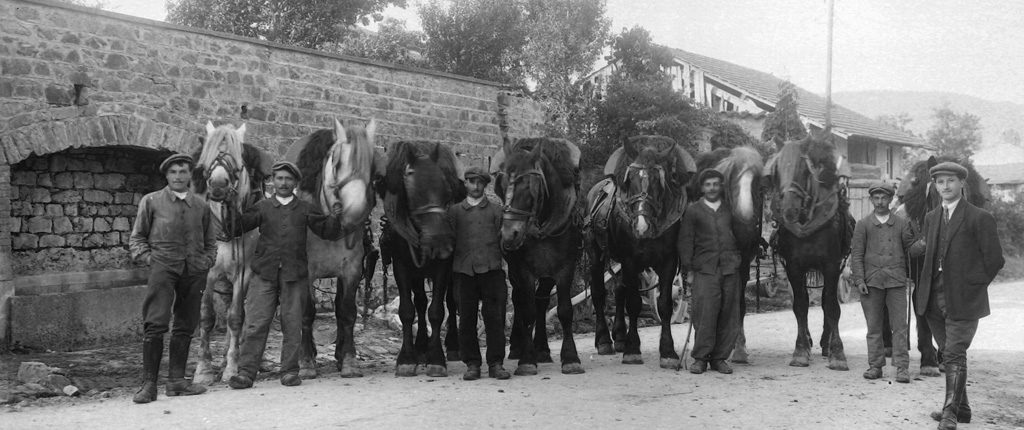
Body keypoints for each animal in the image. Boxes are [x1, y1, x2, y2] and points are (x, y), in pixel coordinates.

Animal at [378, 141, 466, 376]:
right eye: (411, 190)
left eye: (448, 191)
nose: (439, 242)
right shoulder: (402, 266)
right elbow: (407, 310)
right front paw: (407, 358)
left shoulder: (443, 266)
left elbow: (437, 311)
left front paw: (436, 358)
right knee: (419, 302)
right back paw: (420, 348)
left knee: (451, 301)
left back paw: (453, 346)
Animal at [585, 136, 696, 368]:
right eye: (630, 180)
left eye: (659, 182)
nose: (641, 226)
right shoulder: (631, 260)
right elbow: (634, 303)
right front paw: (633, 350)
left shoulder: (668, 261)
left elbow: (664, 304)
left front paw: (668, 352)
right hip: (595, 254)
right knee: (599, 293)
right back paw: (604, 341)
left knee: (619, 291)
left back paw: (619, 337)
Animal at [692, 147, 765, 362]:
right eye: (732, 178)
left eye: (758, 183)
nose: (746, 221)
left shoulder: (743, 264)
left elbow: (738, 305)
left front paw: (739, 350)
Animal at [770, 135, 856, 368]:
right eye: (776, 170)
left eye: (803, 169)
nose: (788, 209)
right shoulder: (794, 267)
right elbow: (800, 305)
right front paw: (800, 351)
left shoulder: (832, 266)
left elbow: (831, 306)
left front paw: (837, 353)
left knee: (827, 301)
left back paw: (826, 343)